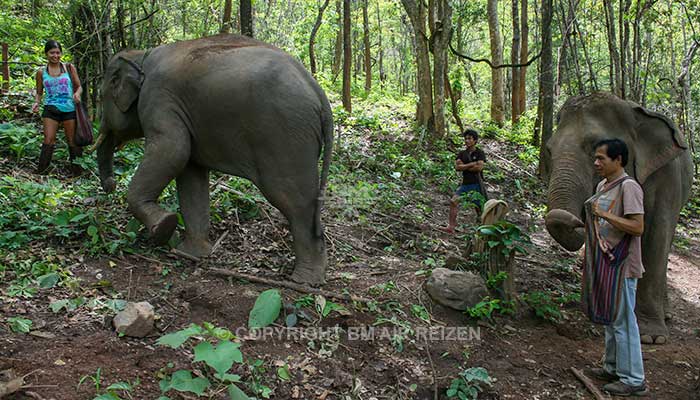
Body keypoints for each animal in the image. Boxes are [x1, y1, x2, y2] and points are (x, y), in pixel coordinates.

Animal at [95, 33, 334, 284]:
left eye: (100, 98)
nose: (111, 185)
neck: (141, 55)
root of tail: (318, 93)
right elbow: (190, 174)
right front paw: (191, 254)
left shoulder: (158, 98)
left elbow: (173, 150)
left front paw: (164, 228)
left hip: (286, 138)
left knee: (295, 203)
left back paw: (304, 280)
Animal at [544, 91, 692, 344]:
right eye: (549, 149)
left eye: (595, 148)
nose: (576, 220)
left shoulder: (666, 175)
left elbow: (656, 234)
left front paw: (651, 336)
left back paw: (664, 315)